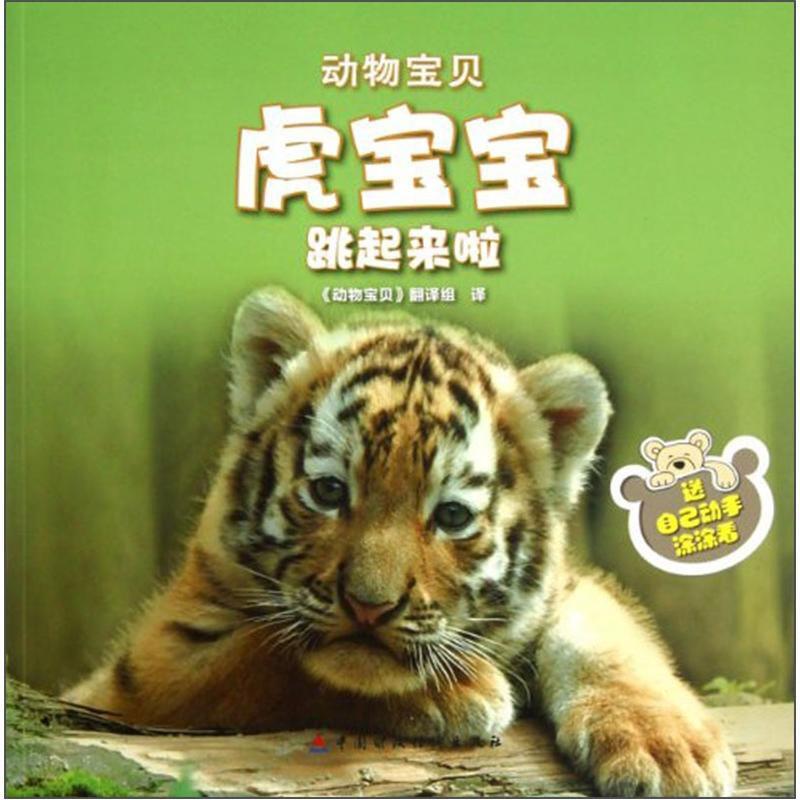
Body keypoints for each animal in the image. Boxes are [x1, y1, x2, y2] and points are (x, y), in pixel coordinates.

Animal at [65, 286, 736, 797]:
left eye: (452, 516)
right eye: (329, 491)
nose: (369, 606)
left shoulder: (568, 591)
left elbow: (605, 635)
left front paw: (669, 751)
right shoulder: (153, 663)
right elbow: (261, 658)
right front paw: (459, 690)